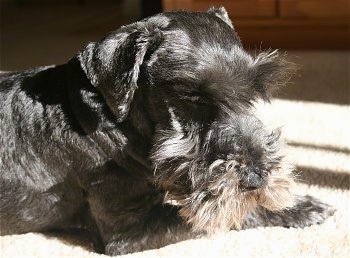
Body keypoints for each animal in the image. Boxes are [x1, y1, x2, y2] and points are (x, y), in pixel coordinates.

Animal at [0, 7, 334, 255]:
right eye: (191, 99)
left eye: (251, 94)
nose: (257, 177)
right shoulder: (128, 228)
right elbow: (225, 214)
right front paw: (302, 206)